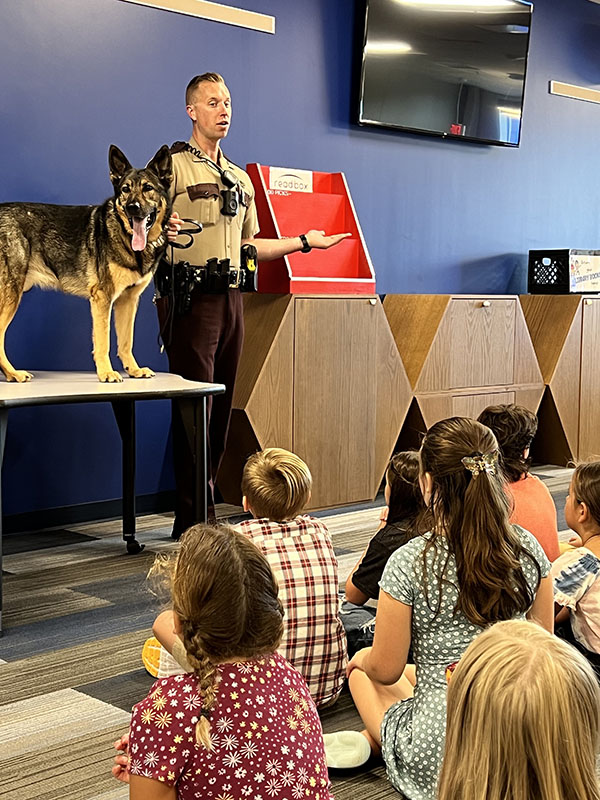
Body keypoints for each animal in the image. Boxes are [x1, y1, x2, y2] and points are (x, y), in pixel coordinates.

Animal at [0, 147, 172, 384]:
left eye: (148, 188)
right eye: (125, 190)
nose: (132, 207)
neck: (126, 237)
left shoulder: (128, 301)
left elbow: (126, 342)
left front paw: (134, 370)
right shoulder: (102, 298)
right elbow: (104, 341)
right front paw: (107, 373)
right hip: (11, 295)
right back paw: (14, 373)